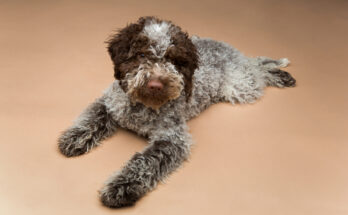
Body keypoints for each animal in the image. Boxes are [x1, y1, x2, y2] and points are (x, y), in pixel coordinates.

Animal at [57, 16, 296, 208]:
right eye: (141, 54)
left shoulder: (172, 139)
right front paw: (75, 137)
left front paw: (122, 187)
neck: (142, 106)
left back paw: (281, 74)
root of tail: (227, 46)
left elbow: (144, 162)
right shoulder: (110, 103)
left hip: (240, 86)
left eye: (173, 60)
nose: (155, 84)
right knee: (255, 64)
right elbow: (93, 115)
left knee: (258, 69)